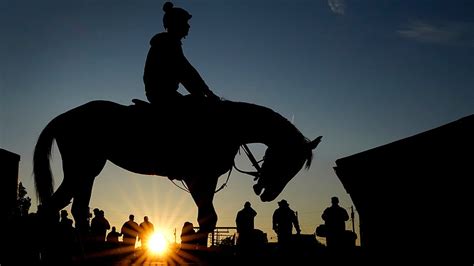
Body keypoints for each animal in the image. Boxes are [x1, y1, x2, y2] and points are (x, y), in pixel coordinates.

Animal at [33, 97, 320, 243]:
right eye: (287, 161)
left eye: (295, 168)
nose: (269, 194)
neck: (227, 124)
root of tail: (64, 117)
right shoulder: (199, 178)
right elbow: (207, 219)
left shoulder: (205, 180)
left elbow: (207, 219)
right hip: (81, 169)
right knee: (54, 207)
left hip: (88, 171)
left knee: (76, 209)